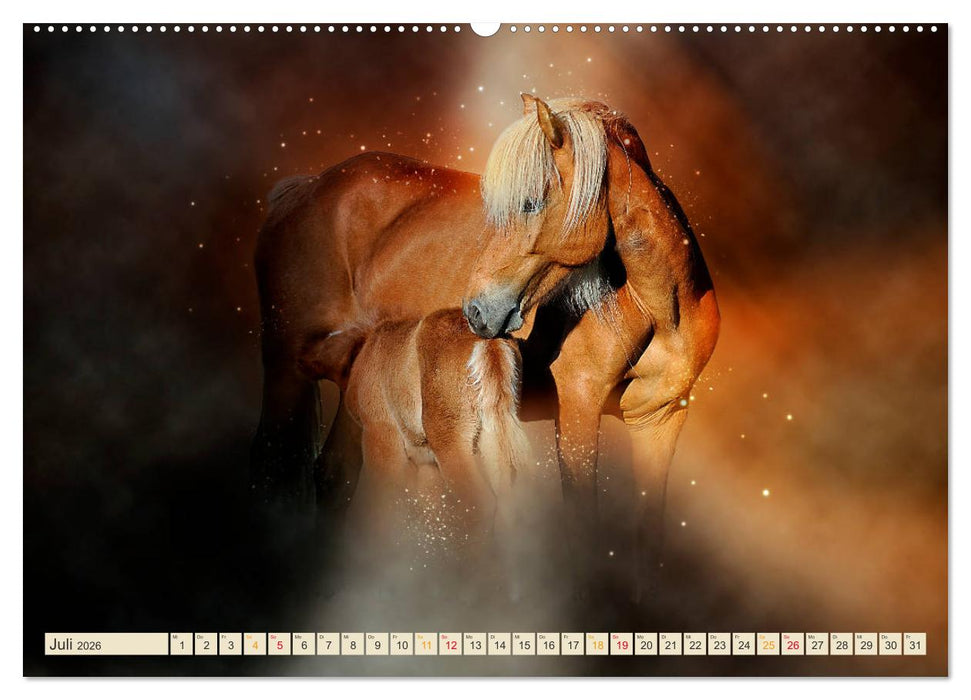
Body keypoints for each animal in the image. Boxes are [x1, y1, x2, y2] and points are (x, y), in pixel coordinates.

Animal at [252, 95, 719, 599]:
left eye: (531, 203)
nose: (476, 311)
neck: (658, 305)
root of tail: (301, 189)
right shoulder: (578, 408)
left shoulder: (659, 419)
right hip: (286, 373)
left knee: (333, 477)